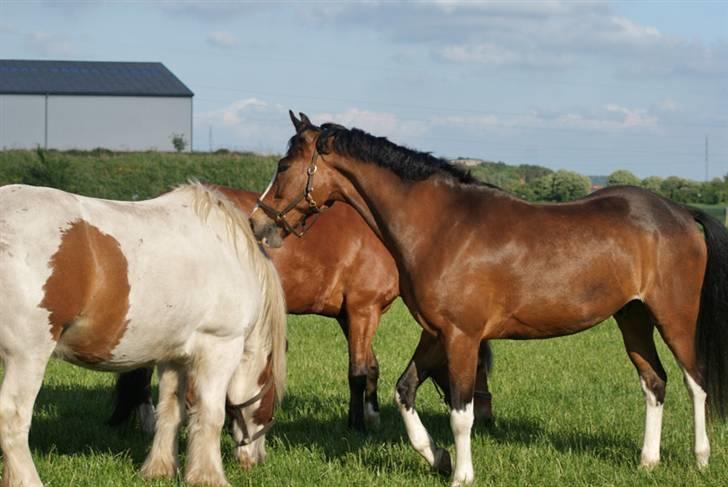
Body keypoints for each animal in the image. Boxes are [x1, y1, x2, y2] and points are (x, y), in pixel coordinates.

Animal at [0, 184, 288, 487]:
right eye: (272, 396)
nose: (258, 458)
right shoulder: (220, 347)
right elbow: (211, 414)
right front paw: (208, 476)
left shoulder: (173, 358)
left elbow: (171, 411)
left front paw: (160, 469)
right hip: (27, 356)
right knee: (13, 416)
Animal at [108, 187, 494, 430]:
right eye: (479, 366)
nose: (487, 416)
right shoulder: (363, 310)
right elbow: (358, 371)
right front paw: (357, 425)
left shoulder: (350, 316)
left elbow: (369, 367)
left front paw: (370, 416)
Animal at [250, 111, 728, 487]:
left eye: (284, 164)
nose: (259, 223)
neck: (442, 227)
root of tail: (680, 212)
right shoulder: (435, 333)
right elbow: (405, 390)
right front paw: (437, 458)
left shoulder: (462, 336)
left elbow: (461, 411)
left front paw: (462, 474)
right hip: (632, 318)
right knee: (655, 382)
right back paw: (648, 461)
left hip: (674, 317)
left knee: (696, 382)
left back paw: (701, 458)